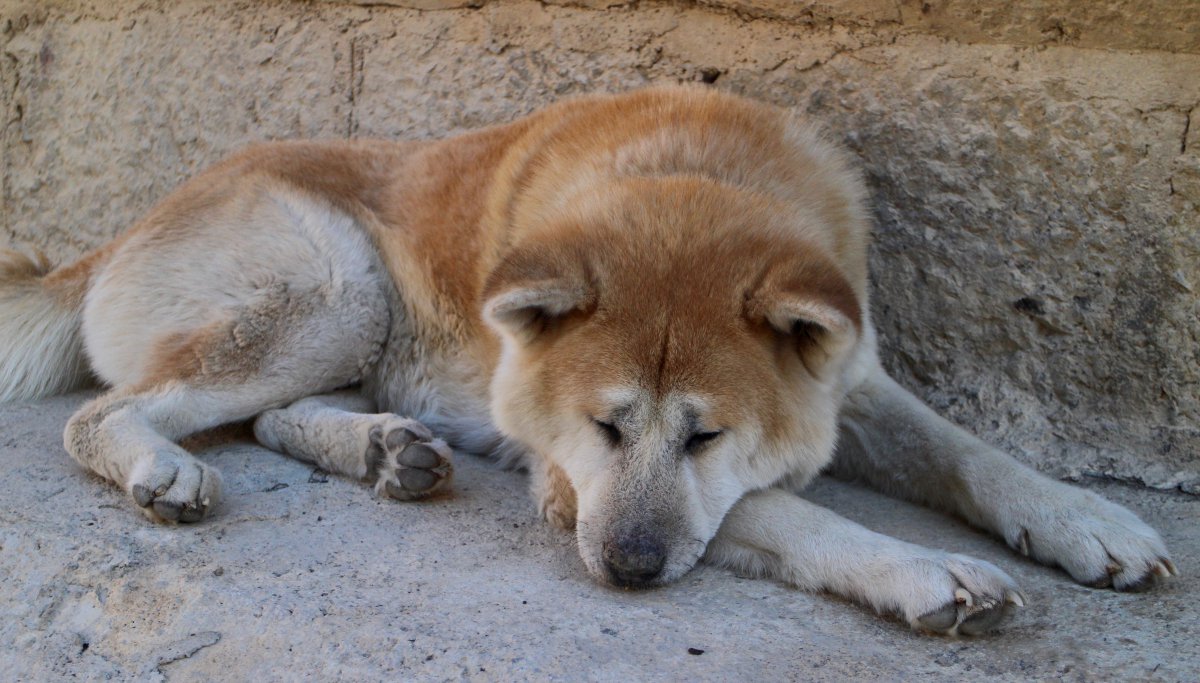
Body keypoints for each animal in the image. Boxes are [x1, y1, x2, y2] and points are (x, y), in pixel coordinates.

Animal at [0, 86, 1176, 633]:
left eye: (706, 433)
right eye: (605, 426)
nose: (625, 570)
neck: (687, 176)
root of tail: (120, 230)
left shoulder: (853, 383)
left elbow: (968, 453)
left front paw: (1087, 519)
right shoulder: (568, 483)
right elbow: (786, 511)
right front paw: (923, 567)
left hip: (348, 317)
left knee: (272, 414)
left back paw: (385, 449)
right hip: (336, 286)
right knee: (105, 412)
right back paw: (163, 466)